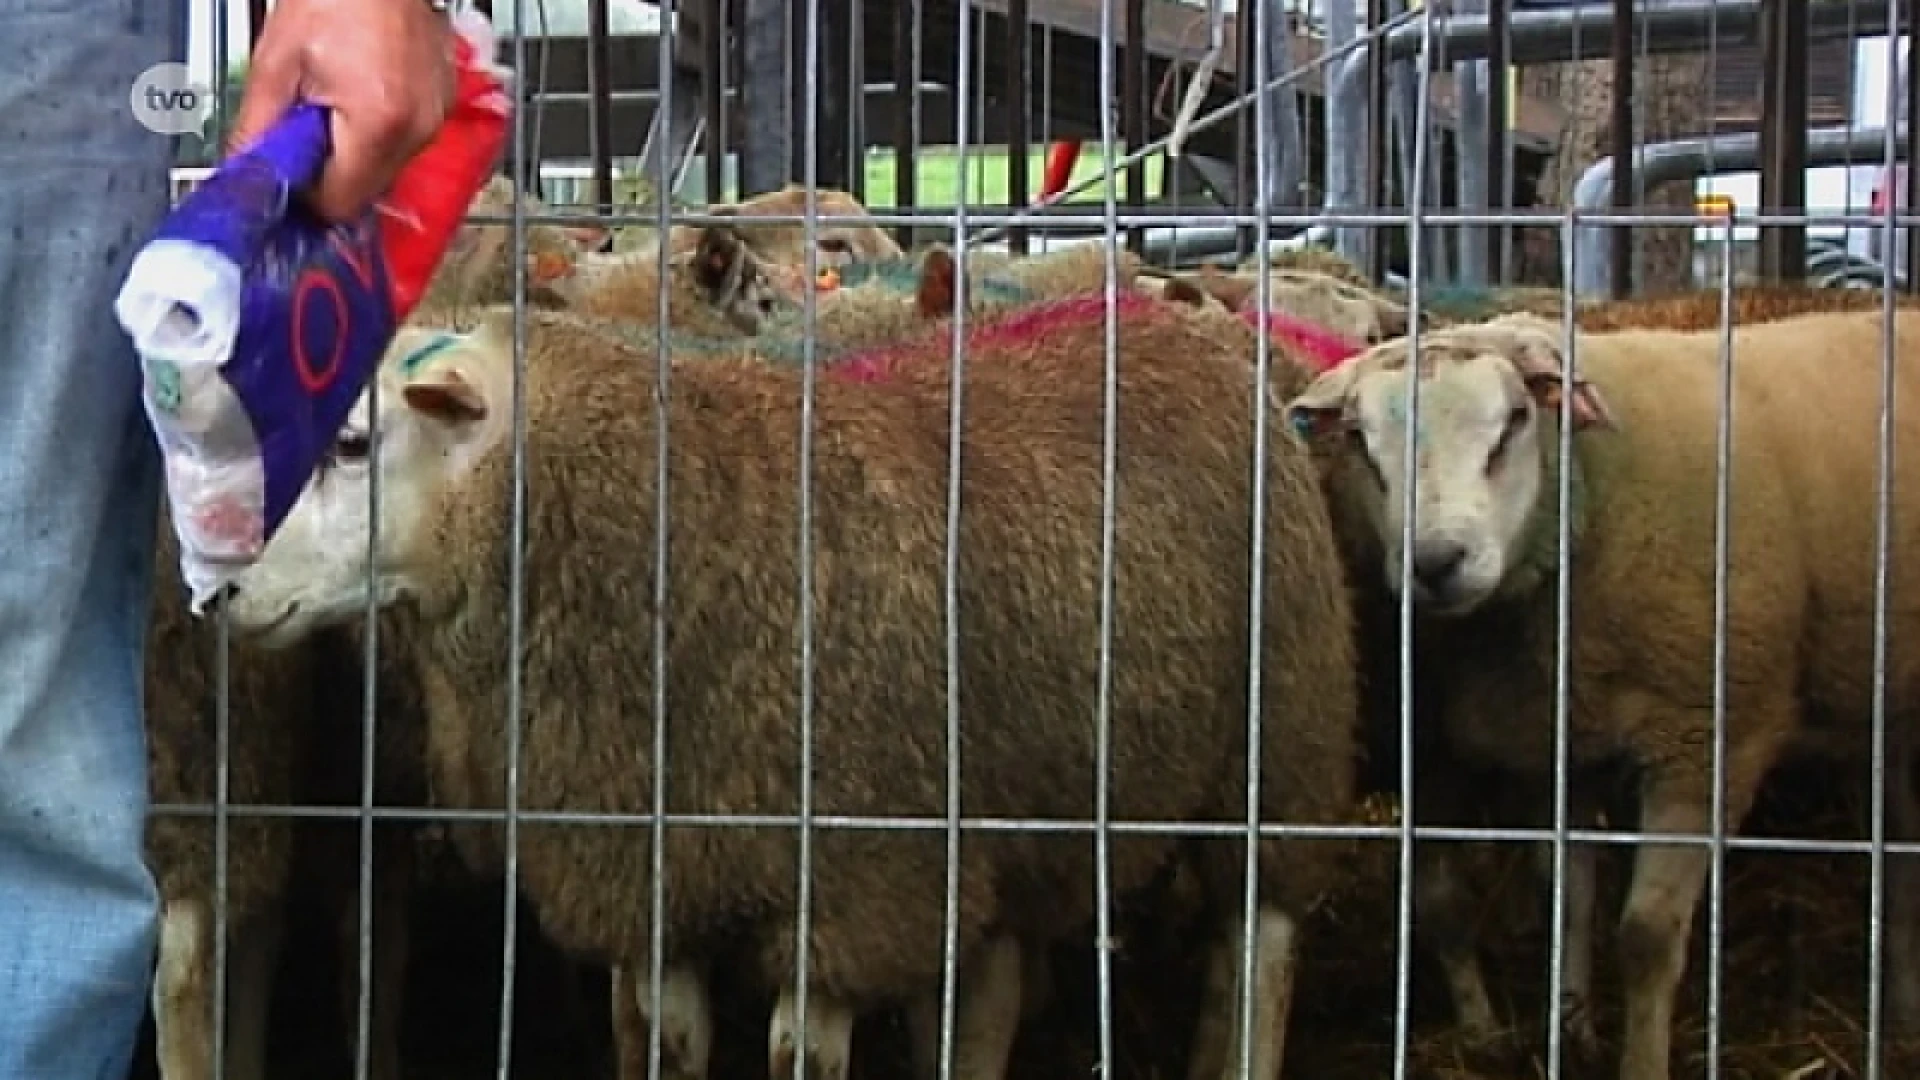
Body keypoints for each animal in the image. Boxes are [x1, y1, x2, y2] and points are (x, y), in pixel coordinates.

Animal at [217, 290, 1367, 1076]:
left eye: (353, 441)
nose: (219, 589)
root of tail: (1169, 321)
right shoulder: (650, 875)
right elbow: (669, 1046)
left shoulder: (850, 888)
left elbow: (795, 1056)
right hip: (1022, 811)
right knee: (992, 988)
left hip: (1284, 735)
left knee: (1257, 952)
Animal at [1282, 305, 1920, 1080]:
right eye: (1359, 442)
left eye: (1515, 421)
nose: (1435, 563)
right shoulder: (1566, 740)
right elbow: (1566, 897)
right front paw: (1570, 1029)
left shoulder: (1706, 739)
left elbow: (1644, 935)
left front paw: (1638, 1059)